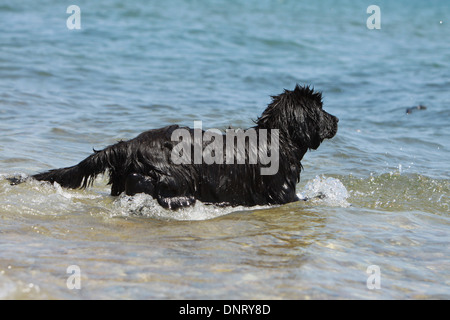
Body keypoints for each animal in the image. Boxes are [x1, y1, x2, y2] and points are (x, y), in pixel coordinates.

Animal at [23, 85, 338, 210]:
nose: (337, 119)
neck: (278, 138)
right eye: (321, 109)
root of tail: (129, 145)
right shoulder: (283, 193)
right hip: (174, 176)